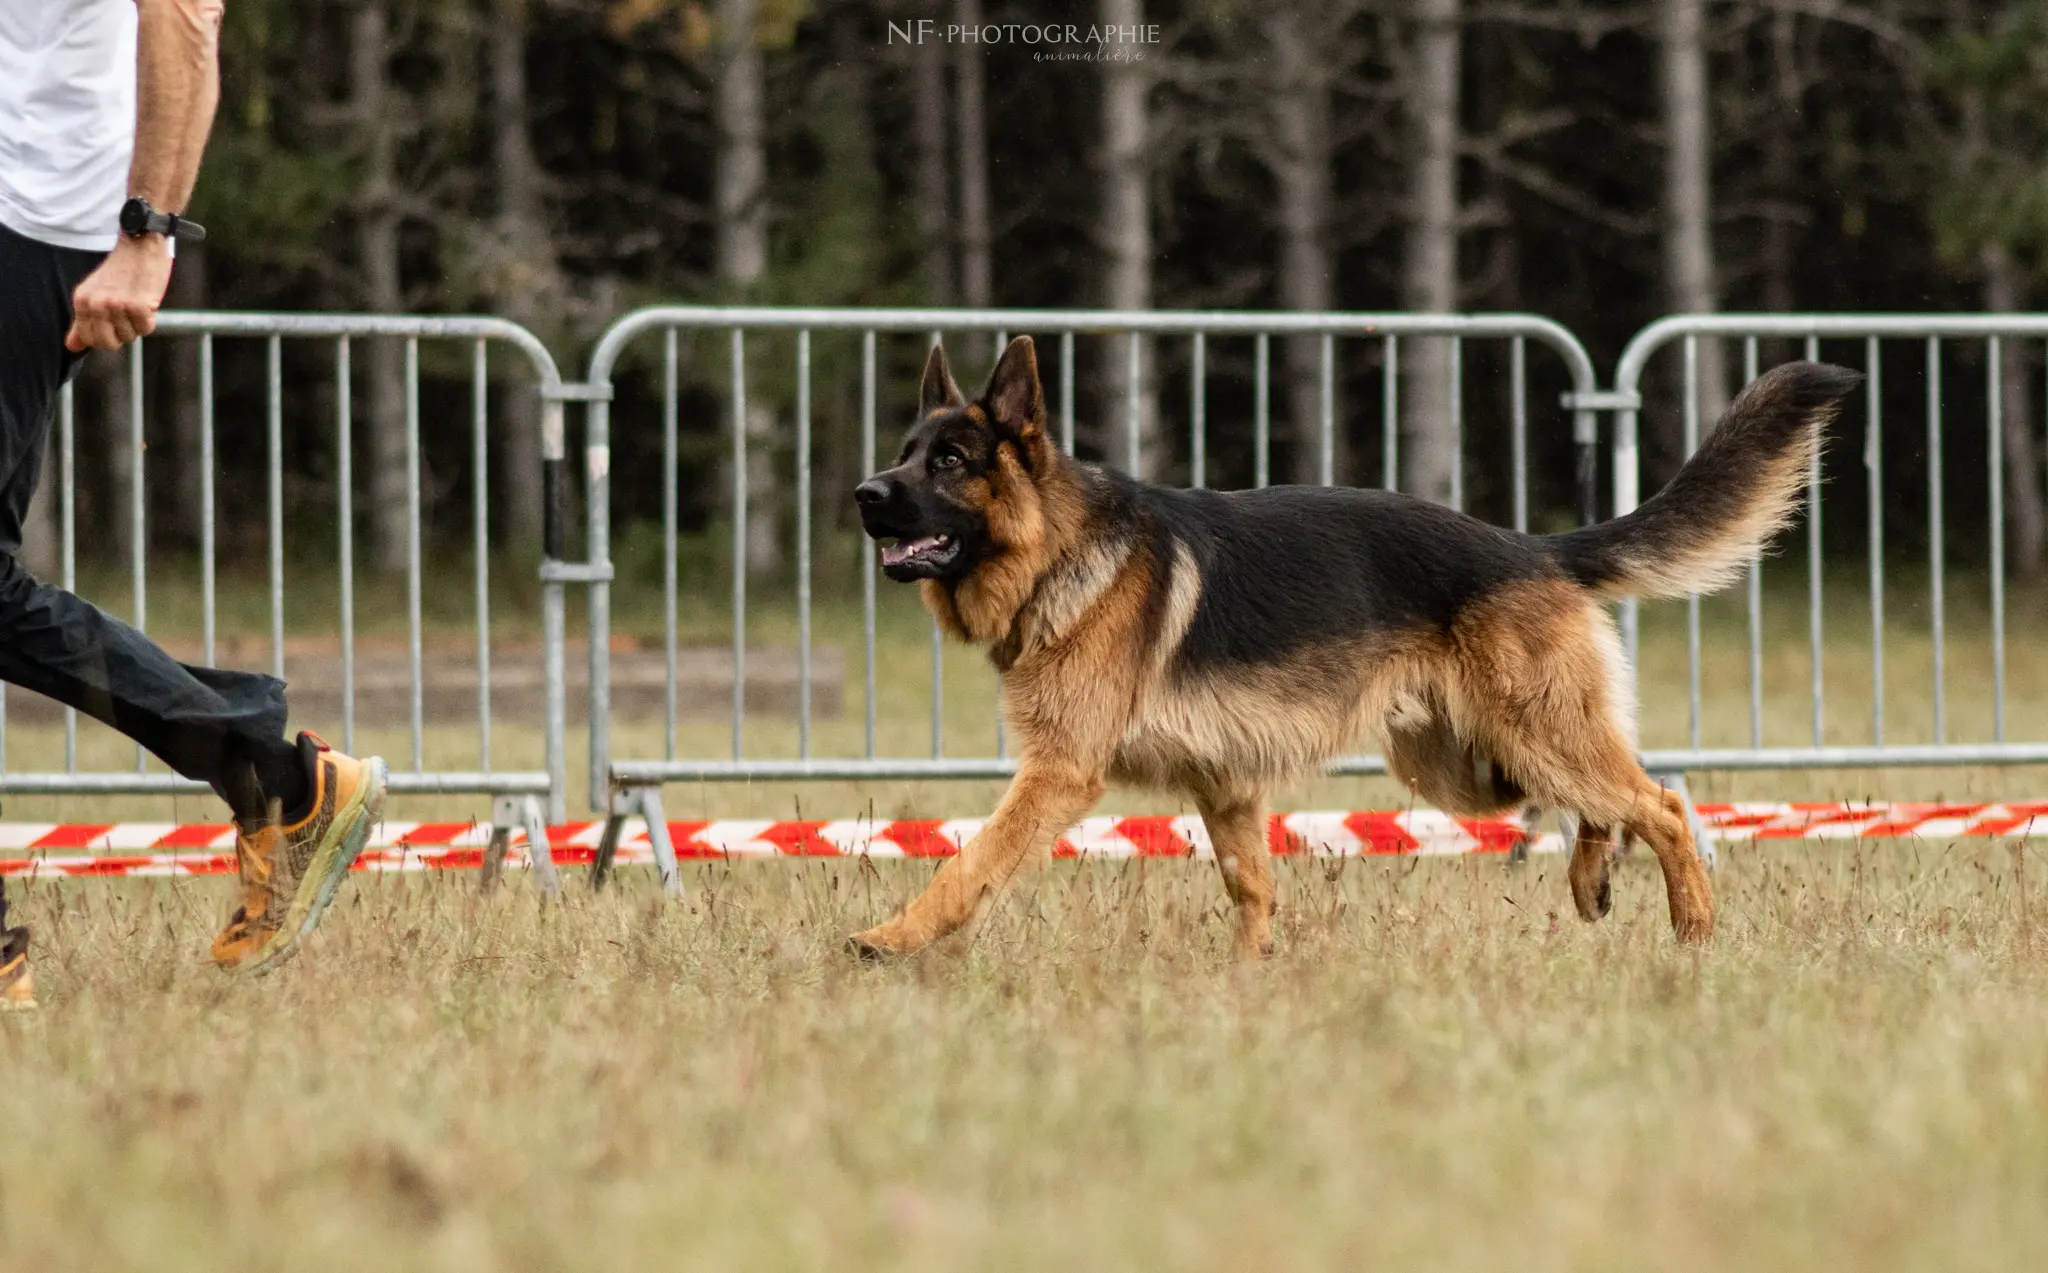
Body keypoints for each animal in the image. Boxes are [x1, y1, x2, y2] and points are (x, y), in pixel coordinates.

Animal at [847, 337, 1859, 957]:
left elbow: (971, 862)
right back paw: (1593, 880)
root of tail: (1534, 548)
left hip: (1525, 737)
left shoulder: (1058, 774)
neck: (1056, 547)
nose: (862, 493)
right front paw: (1249, 978)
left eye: (949, 462)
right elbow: (1250, 887)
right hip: (1471, 764)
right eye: (903, 450)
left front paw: (889, 939)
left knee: (1662, 802)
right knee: (1599, 803)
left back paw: (1692, 931)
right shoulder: (1226, 786)